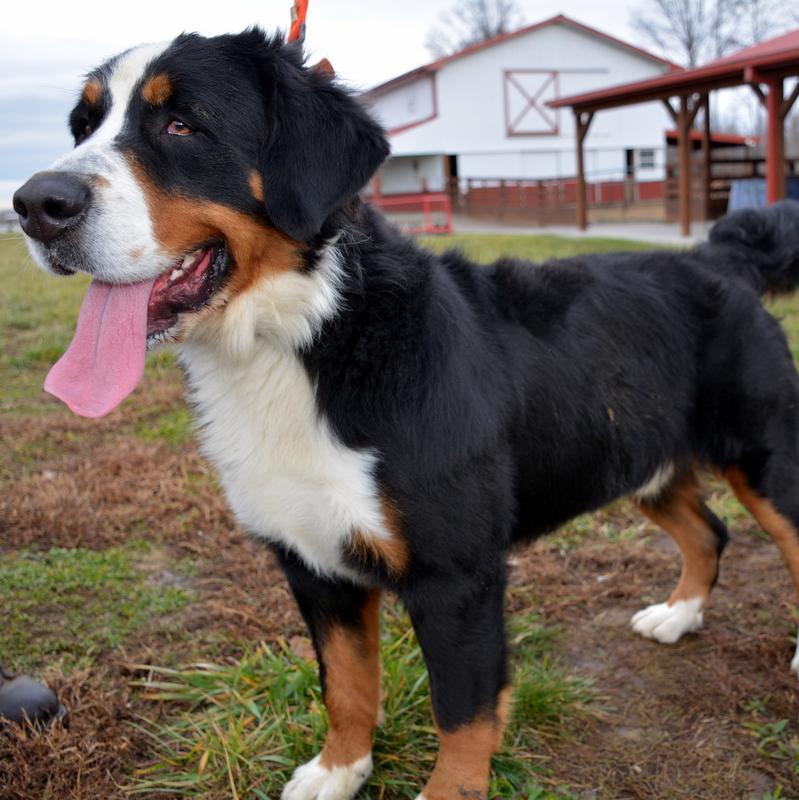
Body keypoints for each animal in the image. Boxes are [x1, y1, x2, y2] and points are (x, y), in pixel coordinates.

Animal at [14, 26, 799, 800]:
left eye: (182, 124)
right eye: (83, 126)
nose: (33, 204)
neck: (308, 336)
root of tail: (718, 256)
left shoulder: (456, 577)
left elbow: (463, 712)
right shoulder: (313, 564)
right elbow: (347, 684)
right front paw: (338, 770)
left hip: (765, 461)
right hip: (636, 460)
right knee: (708, 532)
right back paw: (679, 614)